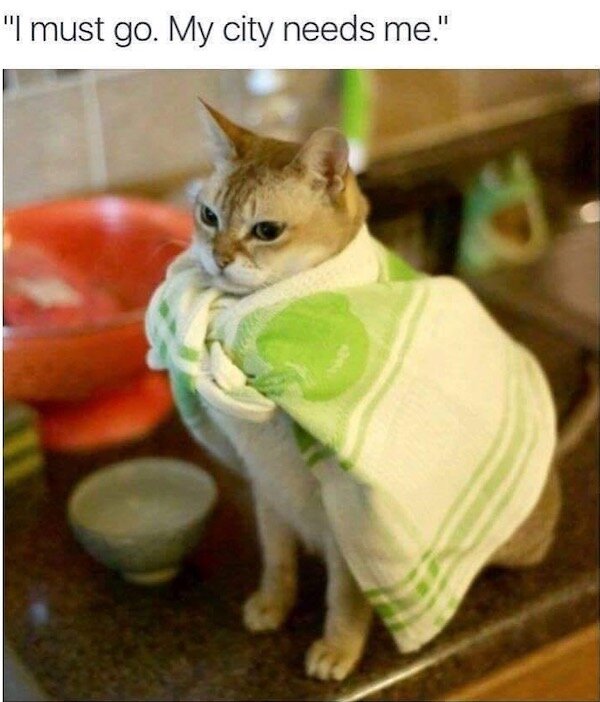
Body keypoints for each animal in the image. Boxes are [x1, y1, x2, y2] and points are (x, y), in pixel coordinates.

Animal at [181, 99, 598, 681]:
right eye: (209, 216)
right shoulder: (268, 490)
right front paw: (271, 604)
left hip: (519, 543)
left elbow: (344, 597)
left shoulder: (349, 518)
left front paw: (338, 649)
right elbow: (278, 560)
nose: (218, 257)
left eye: (266, 230)